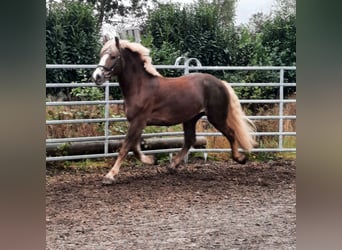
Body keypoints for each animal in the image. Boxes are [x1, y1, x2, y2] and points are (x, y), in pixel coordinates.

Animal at [91, 38, 256, 185]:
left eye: (113, 56)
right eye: (101, 55)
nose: (97, 76)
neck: (140, 87)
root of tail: (221, 83)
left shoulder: (138, 121)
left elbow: (126, 146)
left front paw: (109, 176)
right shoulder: (136, 122)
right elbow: (135, 147)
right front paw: (151, 160)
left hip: (216, 117)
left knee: (231, 133)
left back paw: (240, 159)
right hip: (191, 118)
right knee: (190, 140)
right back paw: (172, 165)